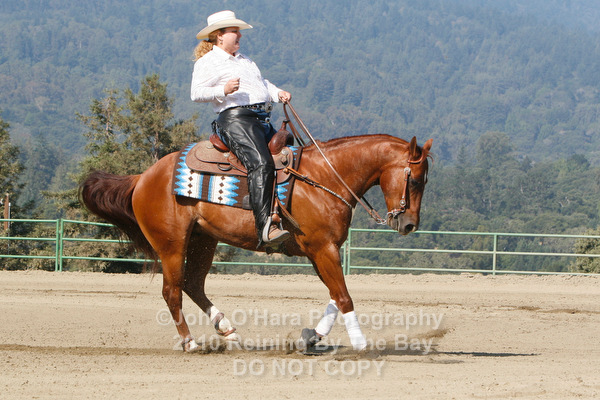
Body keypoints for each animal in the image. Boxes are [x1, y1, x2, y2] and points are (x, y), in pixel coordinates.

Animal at [80, 134, 433, 352]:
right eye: (415, 180)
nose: (409, 224)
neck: (324, 178)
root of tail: (142, 177)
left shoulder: (320, 251)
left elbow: (335, 297)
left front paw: (312, 337)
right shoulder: (323, 248)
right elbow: (344, 298)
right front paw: (360, 345)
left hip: (203, 241)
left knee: (193, 284)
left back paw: (227, 329)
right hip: (172, 245)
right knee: (172, 291)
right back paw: (190, 342)